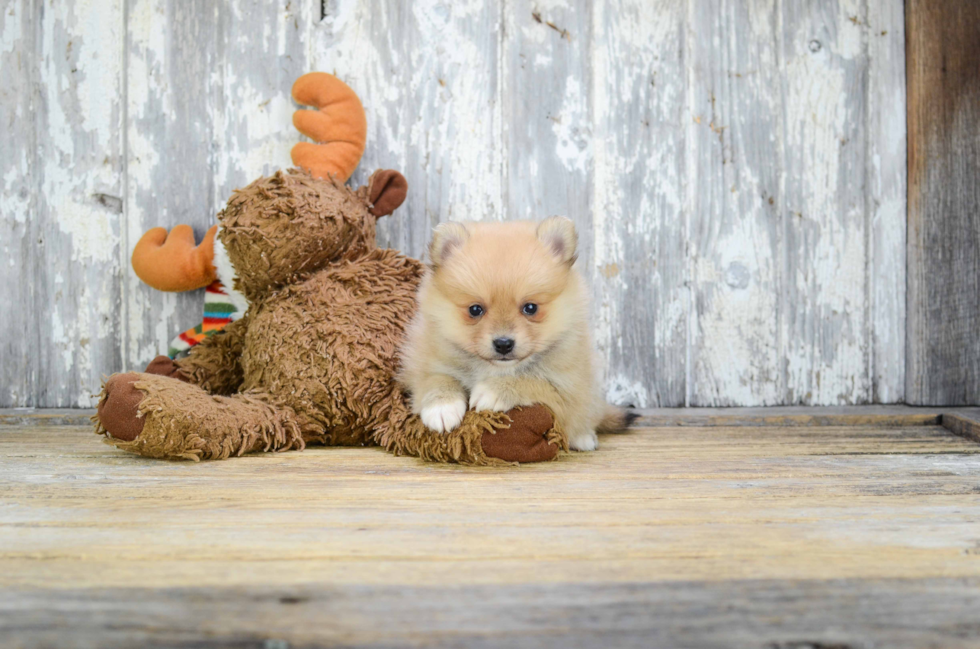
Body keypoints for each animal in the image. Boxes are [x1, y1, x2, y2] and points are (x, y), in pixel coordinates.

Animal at [396, 215, 632, 448]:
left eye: (531, 308)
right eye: (475, 310)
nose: (503, 343)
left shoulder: (567, 390)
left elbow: (533, 382)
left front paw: (493, 390)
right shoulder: (422, 365)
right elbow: (437, 379)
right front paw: (442, 407)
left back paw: (584, 438)